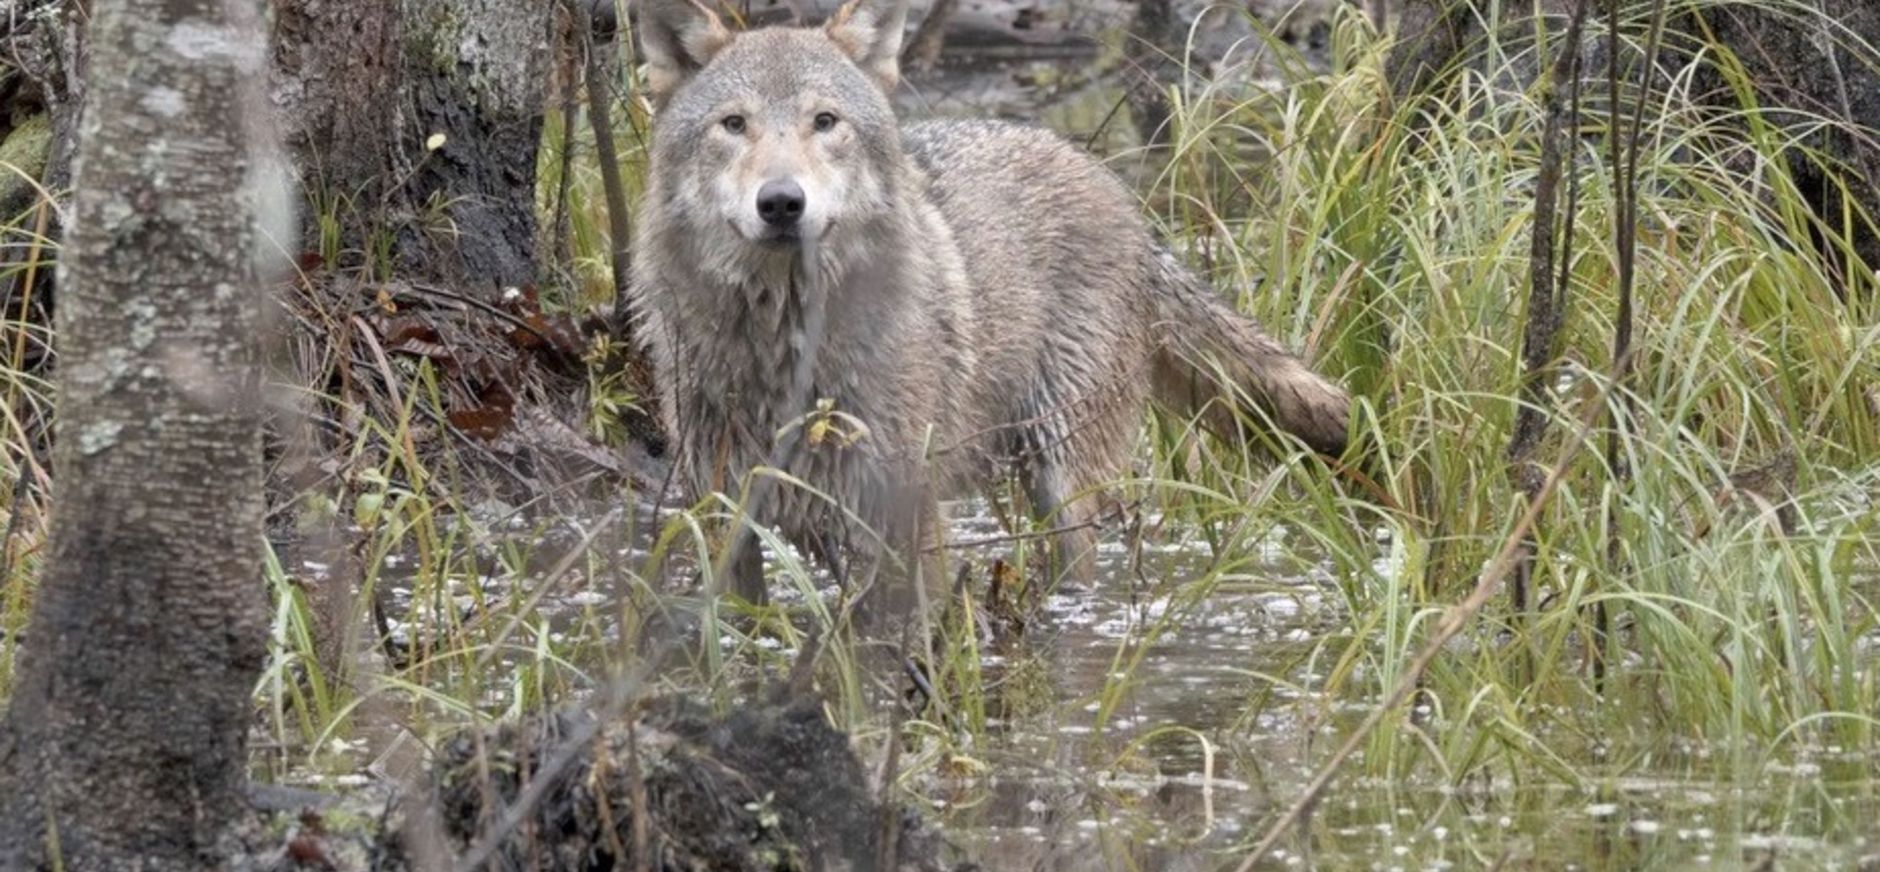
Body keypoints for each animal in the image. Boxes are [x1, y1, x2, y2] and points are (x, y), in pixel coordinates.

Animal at [630, 0, 1351, 607]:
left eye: (824, 122)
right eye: (734, 125)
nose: (781, 202)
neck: (785, 343)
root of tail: (1120, 197)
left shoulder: (906, 517)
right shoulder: (724, 519)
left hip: (1062, 480)